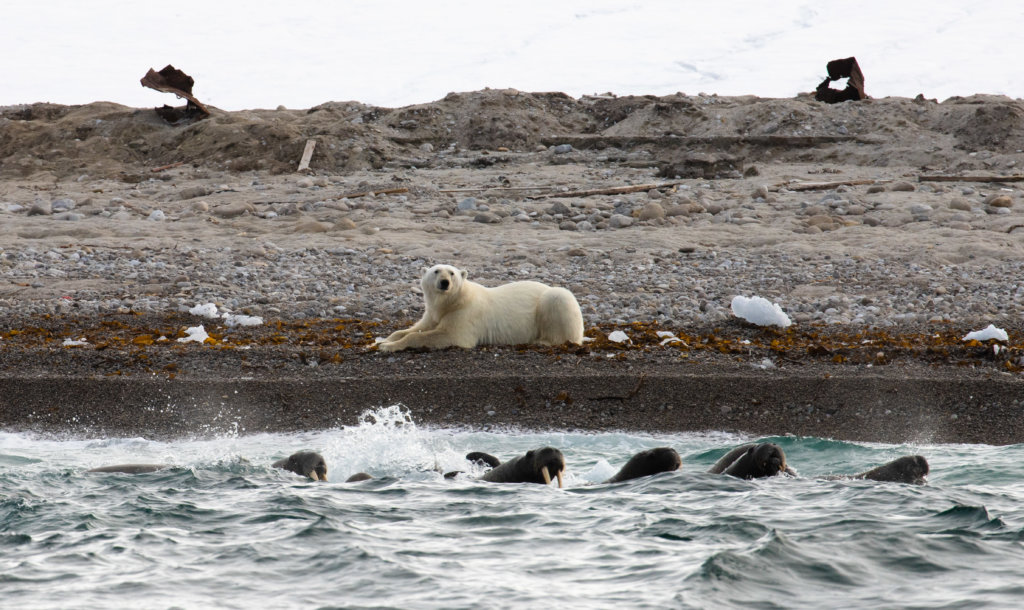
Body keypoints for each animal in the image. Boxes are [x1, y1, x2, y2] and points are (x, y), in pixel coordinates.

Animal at [377, 264, 585, 352]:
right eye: (436, 271)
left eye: (451, 273)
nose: (444, 282)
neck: (453, 301)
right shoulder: (433, 313)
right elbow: (415, 328)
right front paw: (382, 340)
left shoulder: (464, 314)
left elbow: (449, 335)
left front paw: (388, 347)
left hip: (555, 300)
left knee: (558, 302)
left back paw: (542, 341)